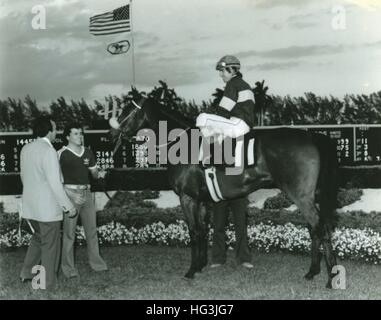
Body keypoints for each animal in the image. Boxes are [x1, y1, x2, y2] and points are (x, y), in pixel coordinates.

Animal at [110, 97, 338, 288]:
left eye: (129, 110)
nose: (113, 131)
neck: (183, 144)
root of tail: (311, 135)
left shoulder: (187, 198)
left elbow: (193, 232)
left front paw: (191, 271)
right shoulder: (201, 200)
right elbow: (203, 230)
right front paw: (201, 265)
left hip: (300, 196)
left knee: (321, 229)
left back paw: (331, 278)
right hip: (309, 197)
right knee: (315, 229)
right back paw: (312, 272)